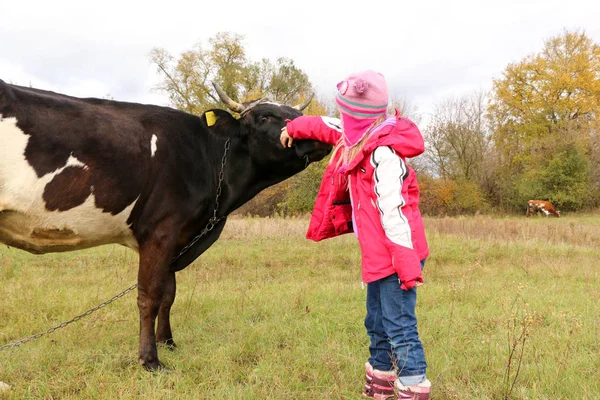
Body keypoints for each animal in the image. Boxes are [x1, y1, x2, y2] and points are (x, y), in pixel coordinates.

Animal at [0, 79, 330, 370]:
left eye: (296, 113)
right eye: (265, 117)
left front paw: (168, 342)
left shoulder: (177, 237)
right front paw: (150, 360)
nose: (320, 132)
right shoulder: (160, 231)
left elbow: (169, 294)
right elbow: (149, 296)